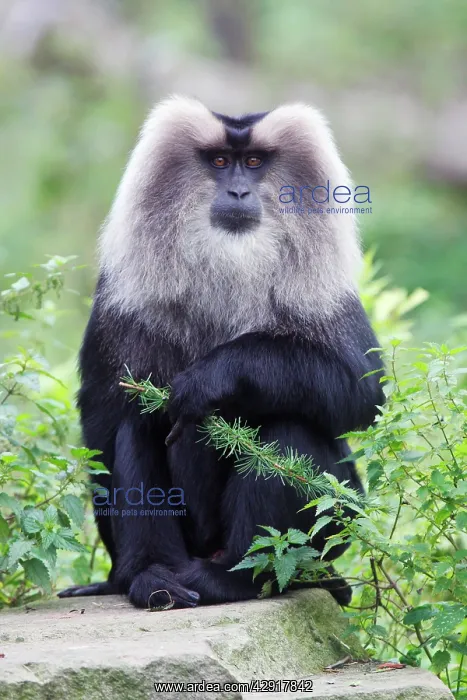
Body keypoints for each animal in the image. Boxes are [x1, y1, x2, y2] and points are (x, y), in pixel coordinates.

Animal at [58, 96, 384, 609]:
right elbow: (103, 417)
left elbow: (361, 389)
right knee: (136, 422)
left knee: (290, 426)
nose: (237, 192)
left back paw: (232, 579)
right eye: (217, 162)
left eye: (252, 163)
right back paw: (155, 578)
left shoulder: (325, 294)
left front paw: (213, 378)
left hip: (332, 524)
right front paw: (118, 577)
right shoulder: (121, 298)